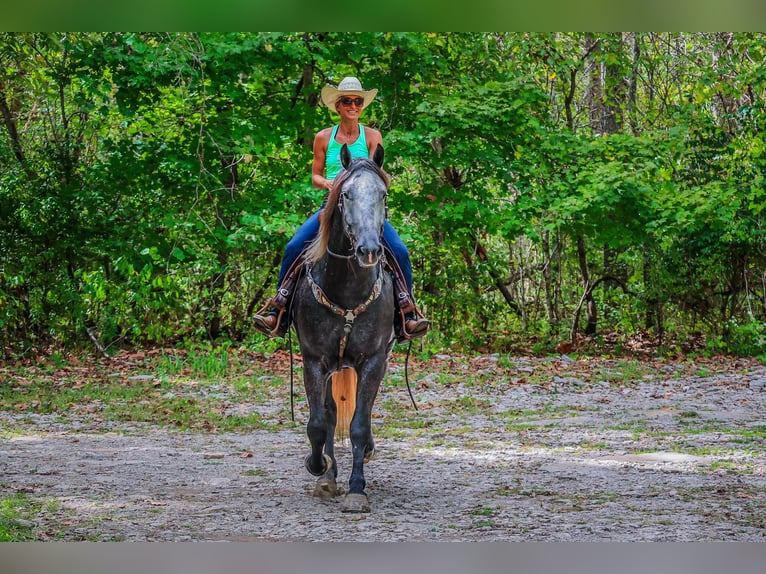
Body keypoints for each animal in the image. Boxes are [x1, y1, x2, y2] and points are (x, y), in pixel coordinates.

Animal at [291, 143, 395, 513]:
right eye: (346, 194)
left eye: (383, 194)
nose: (369, 250)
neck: (348, 289)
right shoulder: (313, 361)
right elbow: (319, 423)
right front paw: (319, 469)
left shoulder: (374, 361)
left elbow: (359, 425)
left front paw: (356, 490)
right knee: (331, 414)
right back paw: (327, 473)